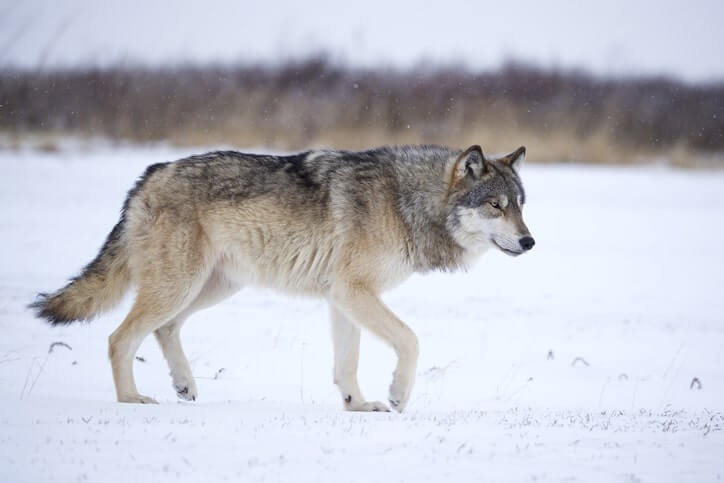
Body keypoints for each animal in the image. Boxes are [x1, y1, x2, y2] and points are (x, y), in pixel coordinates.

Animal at [29, 145, 532, 412]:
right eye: (495, 205)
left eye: (521, 204)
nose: (530, 242)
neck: (406, 201)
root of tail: (150, 173)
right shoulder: (354, 292)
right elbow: (410, 339)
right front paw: (396, 395)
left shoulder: (342, 298)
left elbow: (346, 364)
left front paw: (358, 405)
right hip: (180, 286)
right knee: (119, 338)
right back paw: (131, 399)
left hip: (212, 287)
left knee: (164, 329)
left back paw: (184, 386)